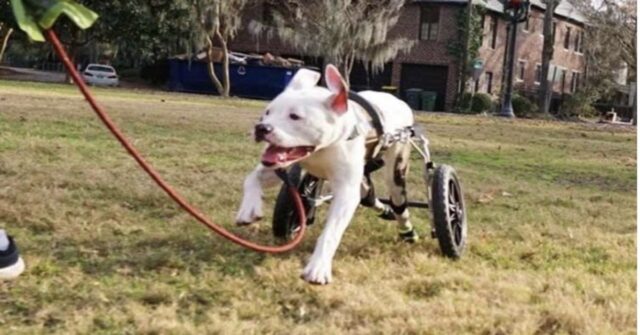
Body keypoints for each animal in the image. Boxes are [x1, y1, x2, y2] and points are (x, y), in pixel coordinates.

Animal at [235, 64, 416, 284]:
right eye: (267, 112)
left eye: (295, 116)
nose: (261, 127)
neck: (321, 149)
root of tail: (397, 100)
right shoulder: (277, 165)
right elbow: (252, 178)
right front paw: (248, 209)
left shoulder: (345, 194)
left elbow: (331, 232)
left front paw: (318, 267)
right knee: (368, 194)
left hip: (396, 169)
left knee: (399, 204)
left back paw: (407, 231)